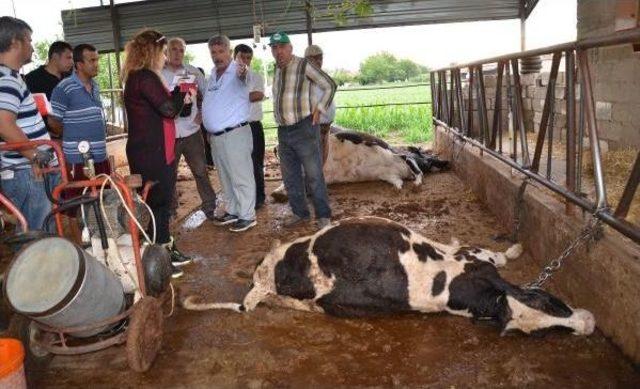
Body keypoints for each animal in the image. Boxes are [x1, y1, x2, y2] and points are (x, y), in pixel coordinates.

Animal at [184, 217, 596, 334]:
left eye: (545, 331)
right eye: (543, 300)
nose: (588, 324)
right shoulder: (474, 257)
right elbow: (496, 254)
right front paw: (515, 249)